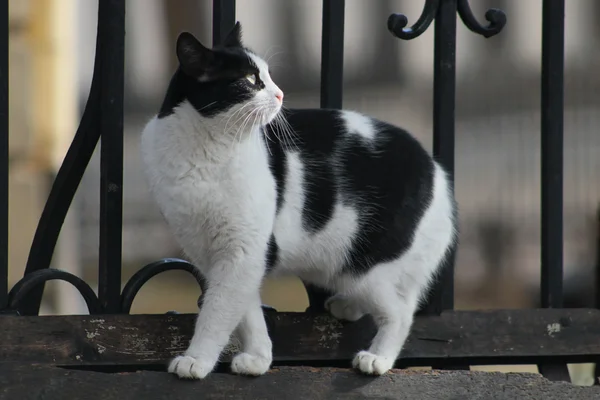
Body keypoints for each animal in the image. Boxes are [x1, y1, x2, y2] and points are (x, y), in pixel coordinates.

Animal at [141, 23, 458, 380]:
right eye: (250, 79)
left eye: (268, 76)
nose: (280, 94)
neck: (206, 149)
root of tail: (435, 170)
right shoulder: (217, 255)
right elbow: (244, 311)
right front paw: (258, 358)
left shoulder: (242, 251)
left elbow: (217, 313)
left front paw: (197, 360)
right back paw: (348, 307)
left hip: (367, 265)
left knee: (401, 312)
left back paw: (377, 358)